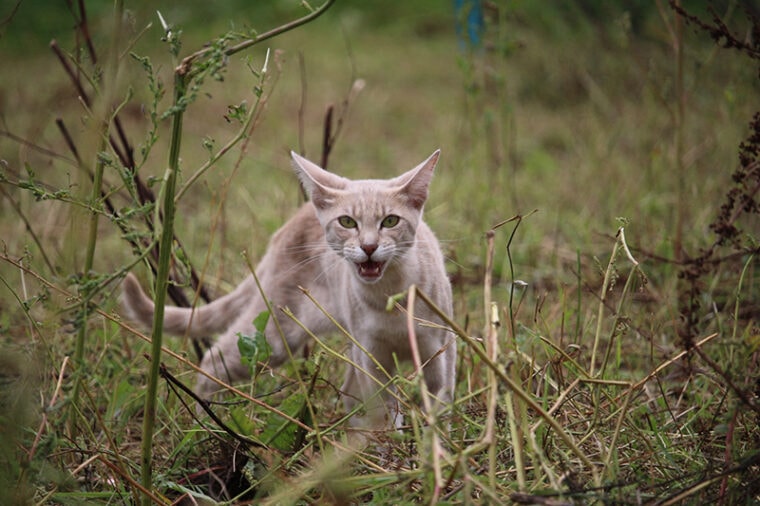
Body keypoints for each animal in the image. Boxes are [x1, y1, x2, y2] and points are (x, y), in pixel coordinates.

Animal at [123, 150, 458, 426]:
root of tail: (289, 225)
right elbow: (386, 412)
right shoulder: (372, 357)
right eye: (347, 222)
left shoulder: (441, 350)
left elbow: (438, 406)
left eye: (390, 221)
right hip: (274, 334)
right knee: (212, 360)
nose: (368, 247)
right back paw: (208, 423)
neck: (389, 298)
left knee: (348, 395)